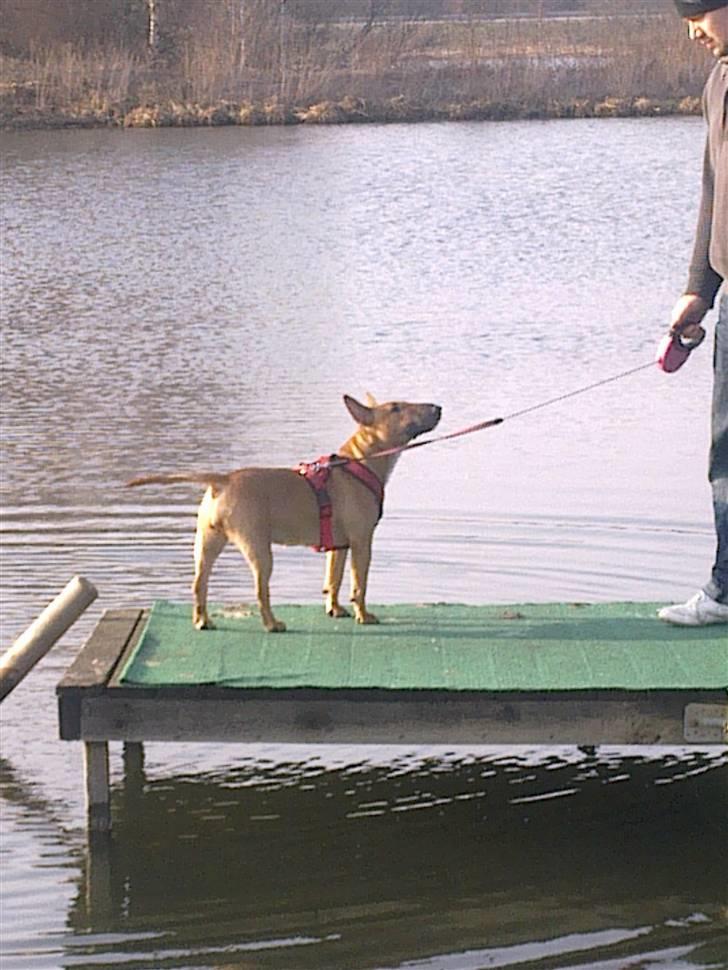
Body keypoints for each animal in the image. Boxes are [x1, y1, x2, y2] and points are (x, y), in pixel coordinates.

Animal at [127, 396, 440, 632]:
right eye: (396, 408)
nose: (437, 407)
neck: (361, 462)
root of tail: (223, 480)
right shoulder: (362, 542)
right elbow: (358, 584)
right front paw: (363, 615)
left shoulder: (339, 546)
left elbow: (333, 579)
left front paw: (335, 609)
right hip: (257, 547)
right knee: (260, 590)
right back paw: (272, 624)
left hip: (206, 543)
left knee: (198, 583)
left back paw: (203, 620)